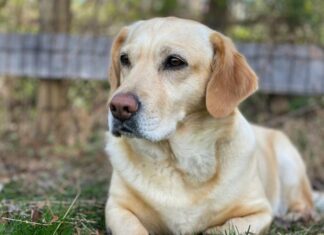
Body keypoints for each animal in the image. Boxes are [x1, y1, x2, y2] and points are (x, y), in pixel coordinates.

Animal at [104, 17, 324, 234]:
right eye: (125, 59)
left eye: (174, 62)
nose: (119, 107)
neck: (181, 161)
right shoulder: (116, 208)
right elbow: (133, 228)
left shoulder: (259, 212)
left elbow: (224, 227)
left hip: (289, 161)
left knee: (304, 201)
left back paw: (297, 215)